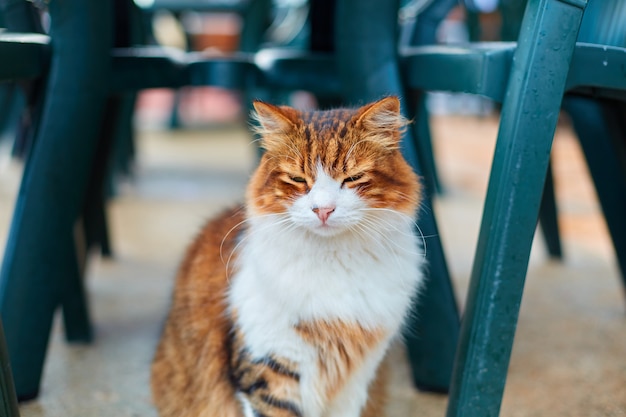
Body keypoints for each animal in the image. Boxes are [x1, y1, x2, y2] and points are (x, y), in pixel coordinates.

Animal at [151, 96, 424, 416]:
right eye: (297, 179)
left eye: (353, 178)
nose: (323, 210)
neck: (333, 262)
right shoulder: (269, 362)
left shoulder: (357, 377)